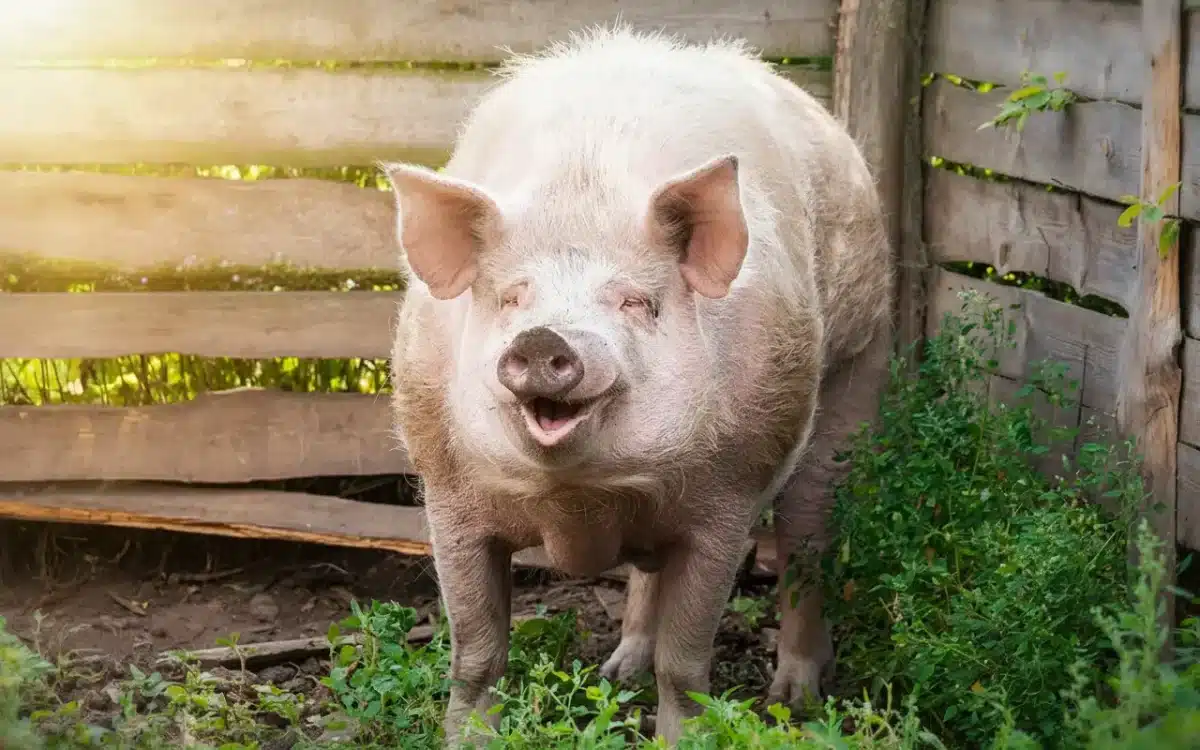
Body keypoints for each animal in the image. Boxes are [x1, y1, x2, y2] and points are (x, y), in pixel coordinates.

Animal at [380, 24, 893, 746]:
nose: (544, 339)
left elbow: (687, 664)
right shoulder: (447, 492)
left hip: (858, 364)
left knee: (806, 543)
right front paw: (466, 737)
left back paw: (796, 702)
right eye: (511, 297)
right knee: (649, 577)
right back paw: (618, 672)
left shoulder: (727, 502)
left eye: (636, 302)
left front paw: (686, 734)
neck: (578, 498)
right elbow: (476, 654)